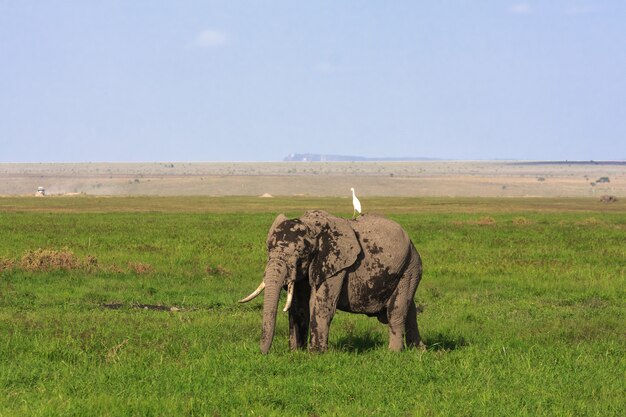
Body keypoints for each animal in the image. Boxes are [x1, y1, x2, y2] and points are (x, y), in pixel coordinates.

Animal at [239, 210, 424, 352]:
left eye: (300, 256)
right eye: (268, 250)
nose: (263, 353)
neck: (311, 226)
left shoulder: (335, 265)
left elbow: (320, 304)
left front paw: (315, 354)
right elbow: (299, 306)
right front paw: (296, 352)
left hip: (410, 268)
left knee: (396, 311)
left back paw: (393, 353)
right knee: (409, 310)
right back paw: (419, 351)